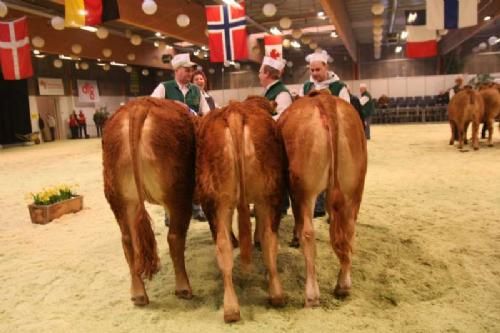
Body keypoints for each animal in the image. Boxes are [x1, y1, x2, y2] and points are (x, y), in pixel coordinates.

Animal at [102, 96, 195, 306]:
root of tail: (139, 106)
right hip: (179, 194)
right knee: (174, 238)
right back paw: (183, 288)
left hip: (119, 198)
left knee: (128, 240)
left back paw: (138, 294)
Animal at [196, 96, 286, 322]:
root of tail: (236, 111)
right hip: (267, 194)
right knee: (269, 241)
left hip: (219, 200)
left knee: (224, 246)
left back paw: (232, 307)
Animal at [278, 91, 368, 306]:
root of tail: (324, 99)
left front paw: (294, 238)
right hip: (354, 188)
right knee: (348, 231)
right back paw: (343, 285)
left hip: (305, 190)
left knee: (309, 233)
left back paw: (311, 295)